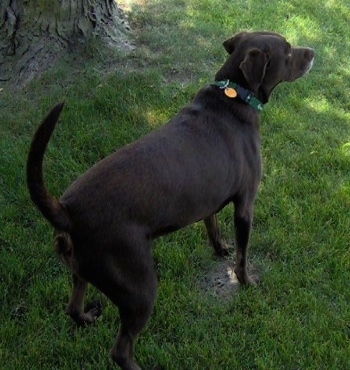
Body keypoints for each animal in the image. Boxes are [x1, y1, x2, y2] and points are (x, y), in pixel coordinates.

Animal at [26, 32, 314, 370]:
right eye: (288, 51)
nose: (312, 53)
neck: (235, 96)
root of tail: (67, 211)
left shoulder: (209, 196)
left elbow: (213, 227)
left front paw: (220, 249)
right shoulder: (245, 205)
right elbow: (243, 255)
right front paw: (246, 281)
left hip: (82, 271)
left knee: (72, 308)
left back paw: (87, 318)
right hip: (139, 288)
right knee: (121, 350)